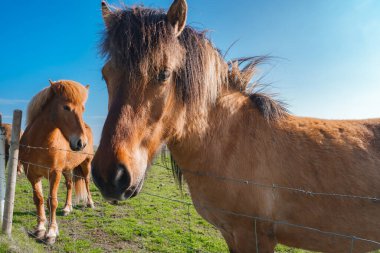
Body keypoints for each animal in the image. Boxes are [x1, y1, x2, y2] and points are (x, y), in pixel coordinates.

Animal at [20, 80, 94, 244]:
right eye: (66, 107)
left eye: (83, 108)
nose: (81, 143)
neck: (39, 142)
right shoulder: (32, 174)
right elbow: (39, 199)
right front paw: (40, 228)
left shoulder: (54, 174)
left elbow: (52, 201)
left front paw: (51, 233)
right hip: (66, 170)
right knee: (70, 185)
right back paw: (67, 208)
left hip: (86, 164)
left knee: (86, 182)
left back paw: (90, 203)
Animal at [91, 0, 380, 252]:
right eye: (106, 75)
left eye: (163, 73)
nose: (109, 176)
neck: (229, 140)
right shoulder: (231, 234)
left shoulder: (253, 236)